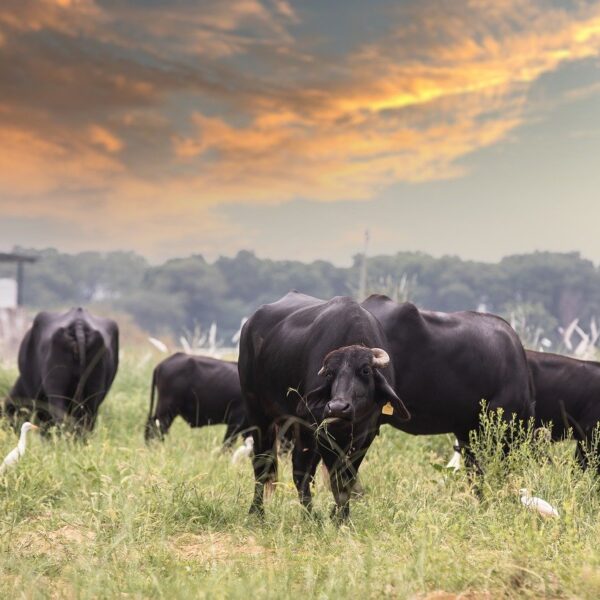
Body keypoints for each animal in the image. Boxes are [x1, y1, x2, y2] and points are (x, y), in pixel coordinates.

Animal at [237, 292, 410, 520]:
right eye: (329, 374)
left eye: (365, 370)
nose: (337, 407)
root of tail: (249, 325)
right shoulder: (323, 432)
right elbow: (337, 478)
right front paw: (339, 517)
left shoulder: (367, 434)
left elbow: (347, 477)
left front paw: (339, 516)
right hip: (259, 413)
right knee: (265, 463)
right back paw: (259, 513)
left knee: (301, 468)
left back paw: (308, 514)